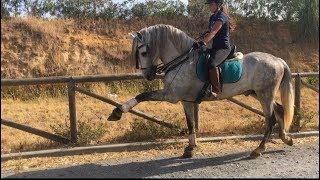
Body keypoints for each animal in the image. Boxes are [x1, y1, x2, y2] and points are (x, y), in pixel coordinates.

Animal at [108, 24, 296, 159]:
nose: (148, 76)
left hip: (265, 94)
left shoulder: (171, 95)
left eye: (143, 52)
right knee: (280, 110)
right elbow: (191, 124)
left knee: (270, 119)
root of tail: (277, 59)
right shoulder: (186, 100)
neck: (182, 61)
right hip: (257, 93)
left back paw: (259, 149)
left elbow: (142, 96)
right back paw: (286, 138)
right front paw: (190, 148)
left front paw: (117, 112)